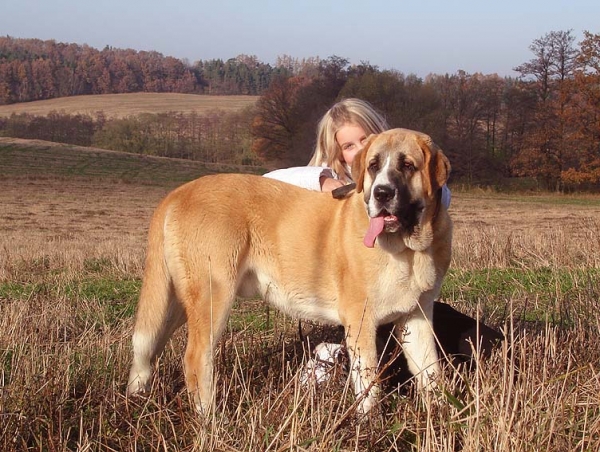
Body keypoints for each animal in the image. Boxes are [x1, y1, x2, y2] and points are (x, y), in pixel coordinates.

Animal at [127, 126, 454, 414]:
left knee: (148, 345)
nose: (381, 193)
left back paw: (137, 399)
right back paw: (209, 419)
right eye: (373, 166)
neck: (409, 250)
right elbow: (369, 384)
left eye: (408, 165)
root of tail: (178, 192)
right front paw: (368, 426)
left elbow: (431, 374)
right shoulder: (361, 322)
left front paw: (441, 418)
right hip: (212, 295)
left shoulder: (416, 317)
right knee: (195, 358)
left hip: (178, 301)